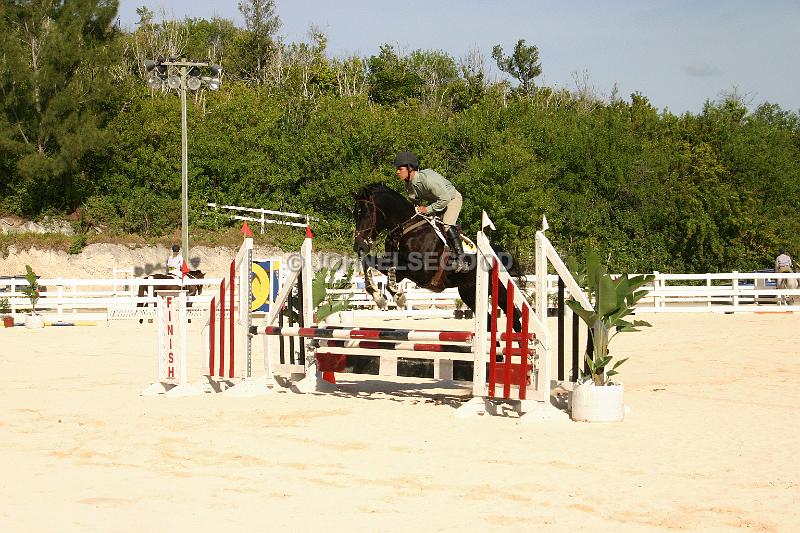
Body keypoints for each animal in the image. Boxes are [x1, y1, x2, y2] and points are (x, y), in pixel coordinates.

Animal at [354, 183, 520, 324]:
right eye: (355, 214)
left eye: (366, 214)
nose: (359, 247)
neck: (408, 228)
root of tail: (503, 254)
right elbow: (369, 262)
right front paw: (379, 297)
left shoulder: (420, 272)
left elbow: (393, 272)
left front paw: (398, 297)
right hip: (468, 292)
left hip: (501, 292)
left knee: (515, 317)